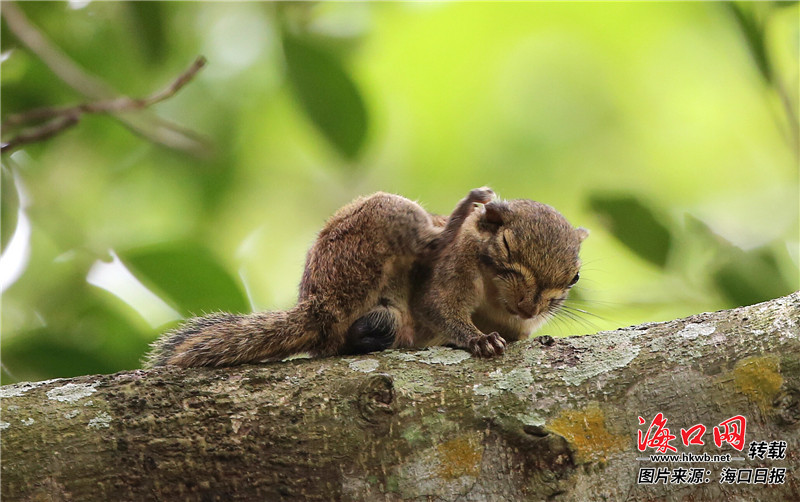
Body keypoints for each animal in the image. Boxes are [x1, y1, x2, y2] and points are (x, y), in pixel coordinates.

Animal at [144, 188, 584, 368]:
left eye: (575, 277)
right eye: (507, 247)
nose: (530, 306)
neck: (495, 297)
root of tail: (317, 304)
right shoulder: (452, 268)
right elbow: (437, 306)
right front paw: (477, 339)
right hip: (368, 235)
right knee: (425, 244)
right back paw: (456, 215)